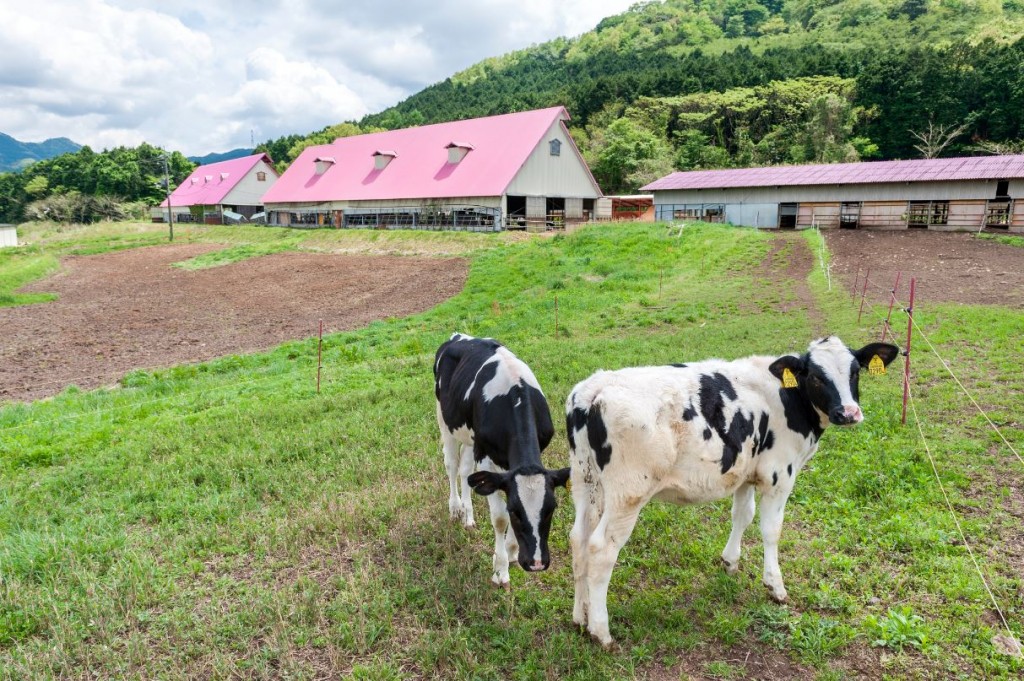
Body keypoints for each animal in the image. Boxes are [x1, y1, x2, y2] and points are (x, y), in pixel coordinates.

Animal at [434, 331, 573, 585]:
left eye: (551, 509)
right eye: (515, 511)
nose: (537, 563)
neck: (514, 393)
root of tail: (459, 335)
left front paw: (512, 552)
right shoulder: (486, 457)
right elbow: (499, 518)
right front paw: (500, 570)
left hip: (470, 437)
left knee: (466, 470)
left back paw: (468, 517)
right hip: (445, 419)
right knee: (452, 465)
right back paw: (456, 509)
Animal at [569, 337, 897, 647]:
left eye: (855, 371)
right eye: (816, 376)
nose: (849, 413)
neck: (787, 398)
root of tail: (594, 388)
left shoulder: (745, 473)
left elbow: (742, 516)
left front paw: (730, 562)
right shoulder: (779, 475)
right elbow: (771, 530)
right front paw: (775, 585)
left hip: (584, 482)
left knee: (579, 539)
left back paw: (580, 617)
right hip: (628, 494)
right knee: (601, 549)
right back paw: (600, 631)